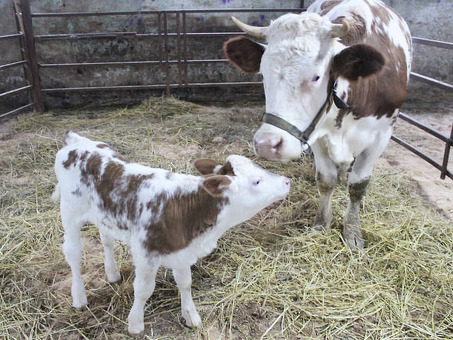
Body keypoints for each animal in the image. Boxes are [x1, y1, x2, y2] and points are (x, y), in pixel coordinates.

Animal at [51, 131, 288, 334]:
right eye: (257, 180)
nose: (287, 181)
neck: (187, 207)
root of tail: (76, 141)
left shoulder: (182, 249)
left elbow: (185, 282)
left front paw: (190, 315)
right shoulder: (145, 253)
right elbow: (143, 290)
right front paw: (135, 324)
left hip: (103, 214)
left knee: (106, 240)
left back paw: (112, 273)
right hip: (69, 211)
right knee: (73, 254)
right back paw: (79, 297)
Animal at [223, 0, 414, 250]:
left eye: (316, 77)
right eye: (263, 74)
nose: (267, 144)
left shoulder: (381, 136)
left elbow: (358, 185)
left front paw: (353, 231)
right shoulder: (316, 135)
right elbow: (326, 180)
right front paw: (322, 224)